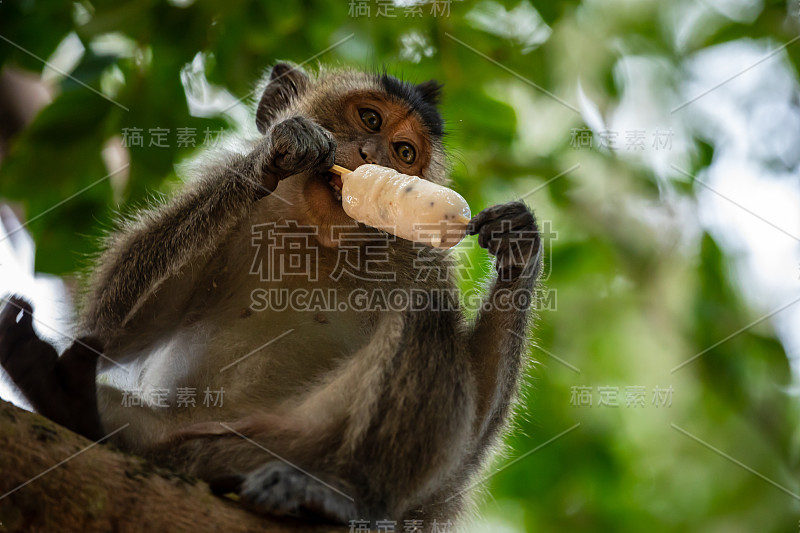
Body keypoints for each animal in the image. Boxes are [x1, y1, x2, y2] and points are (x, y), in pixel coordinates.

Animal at [0, 62, 544, 524]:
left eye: (405, 153)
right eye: (370, 118)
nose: (373, 156)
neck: (314, 237)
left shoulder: (424, 262)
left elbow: (450, 480)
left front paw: (518, 246)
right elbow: (112, 330)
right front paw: (279, 151)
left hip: (291, 440)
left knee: (423, 318)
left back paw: (345, 494)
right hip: (180, 441)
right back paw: (70, 401)